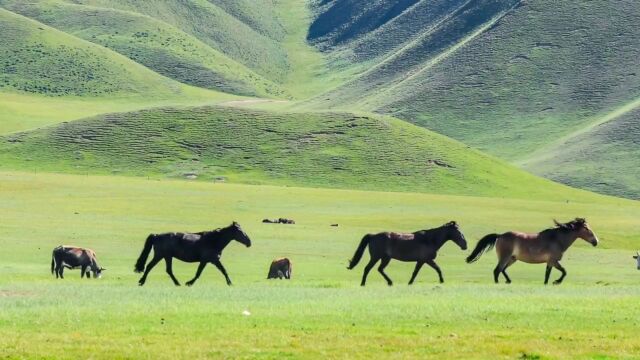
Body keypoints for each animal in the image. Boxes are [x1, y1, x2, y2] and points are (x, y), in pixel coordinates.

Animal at [464, 218, 600, 286]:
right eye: (587, 229)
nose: (596, 241)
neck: (557, 239)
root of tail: (500, 235)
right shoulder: (553, 261)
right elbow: (564, 272)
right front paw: (556, 282)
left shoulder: (550, 262)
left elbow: (547, 274)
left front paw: (547, 283)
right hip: (505, 257)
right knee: (497, 270)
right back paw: (498, 283)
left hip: (512, 259)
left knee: (502, 270)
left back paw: (508, 281)